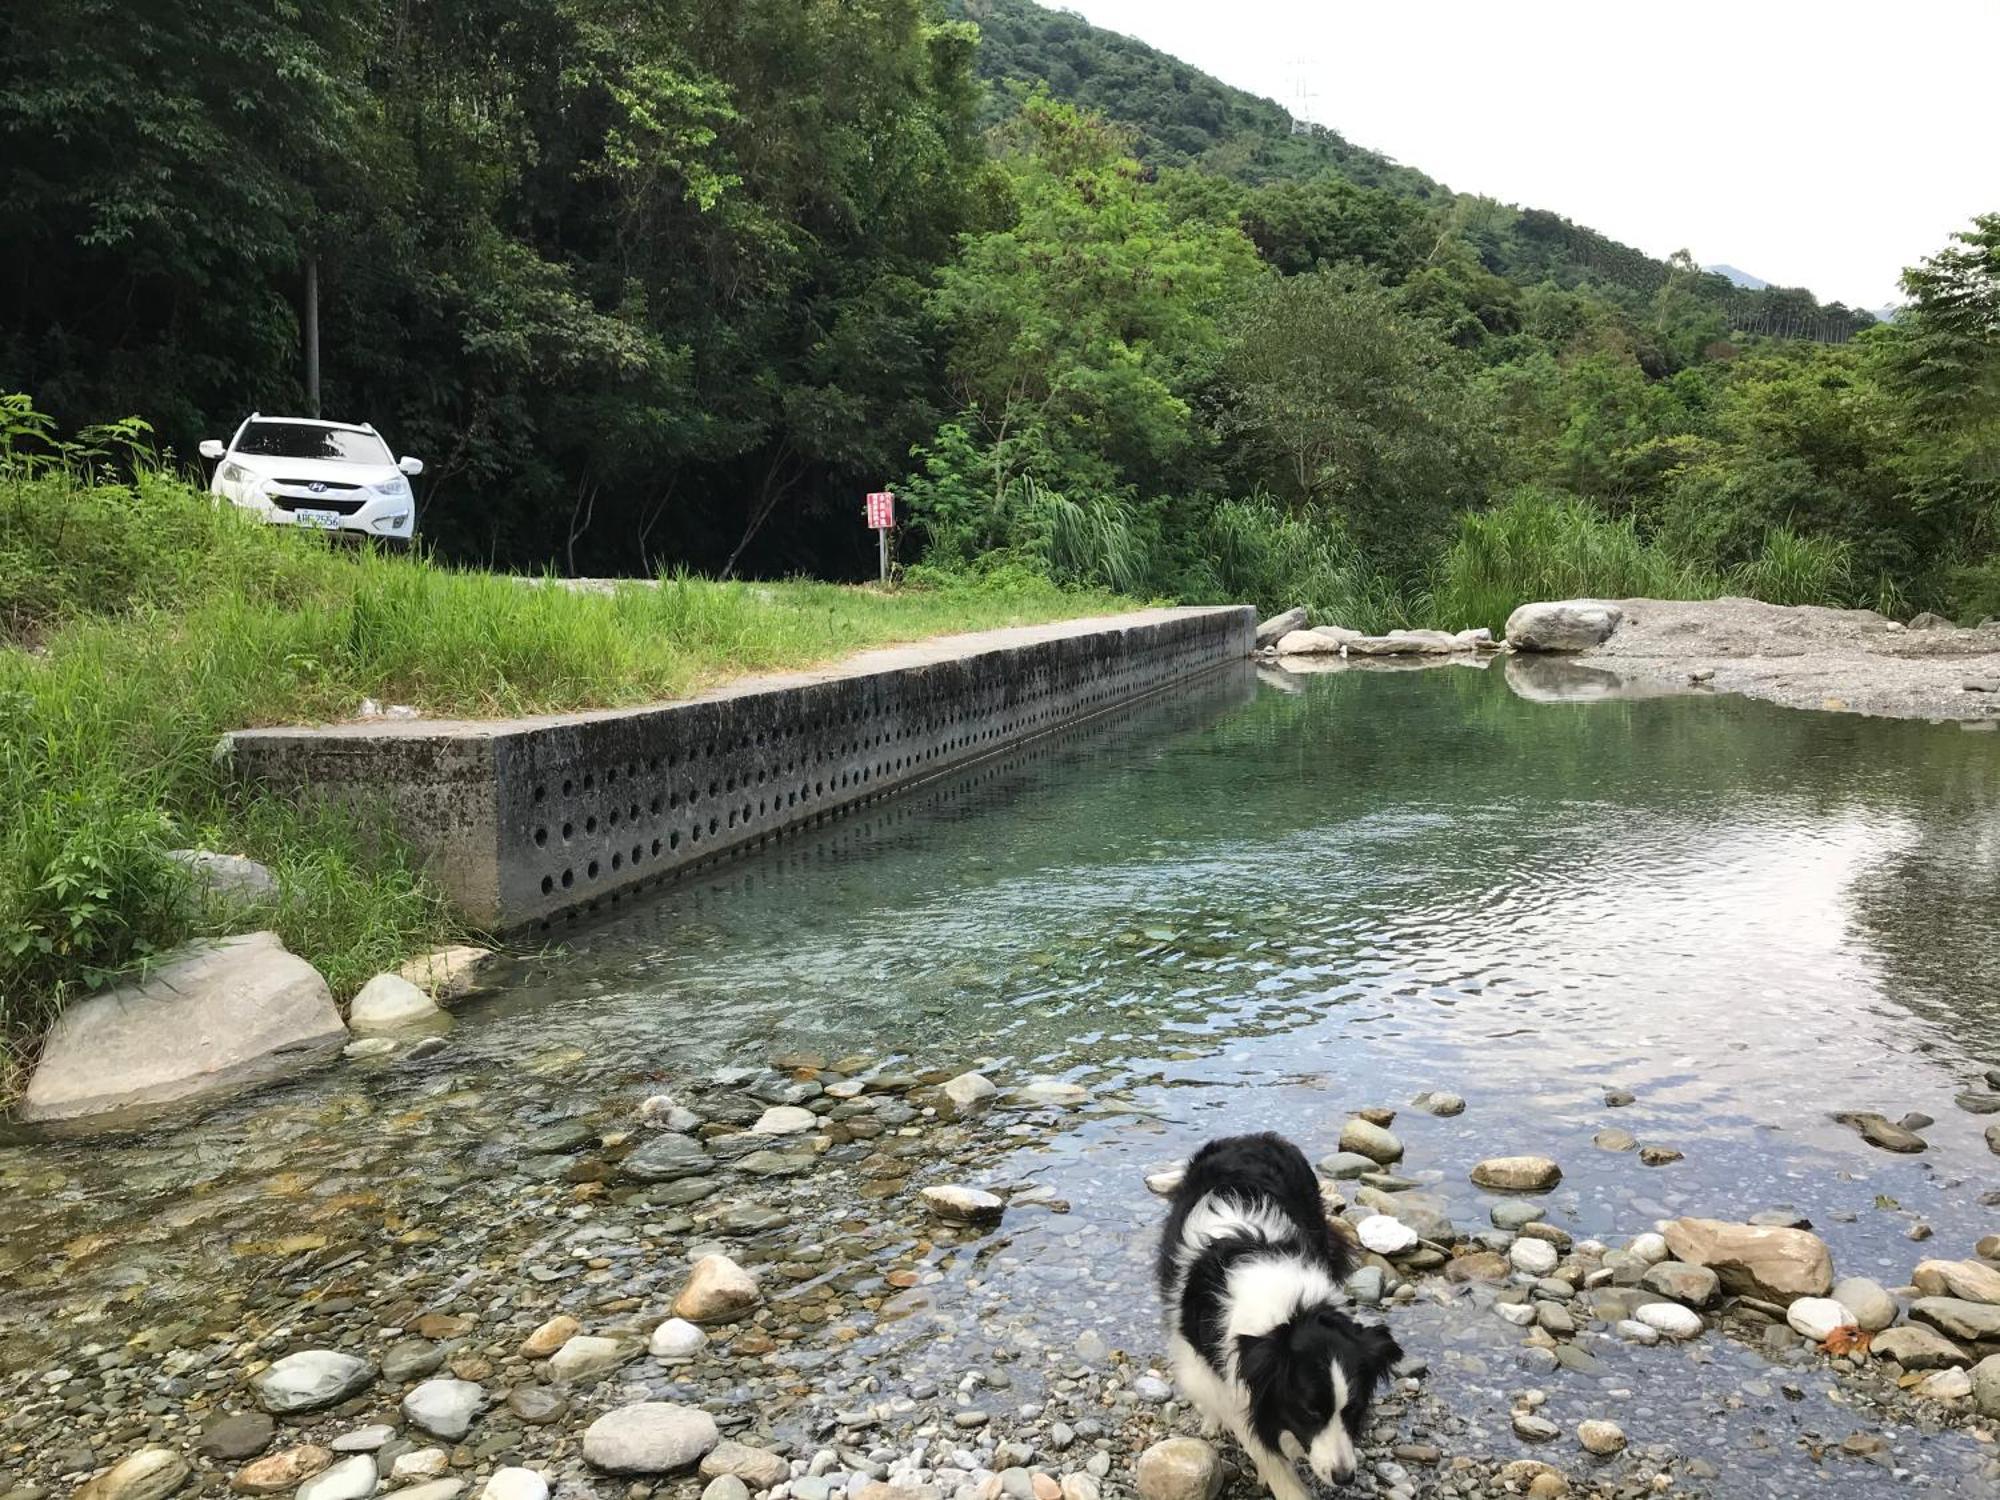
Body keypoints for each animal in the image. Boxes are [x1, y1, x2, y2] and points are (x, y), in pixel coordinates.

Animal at [1160, 1136, 1408, 1496]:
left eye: (1354, 1408)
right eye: (1310, 1411)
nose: (1345, 1477)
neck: (1289, 1306)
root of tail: (1251, 1137)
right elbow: (1264, 1448)